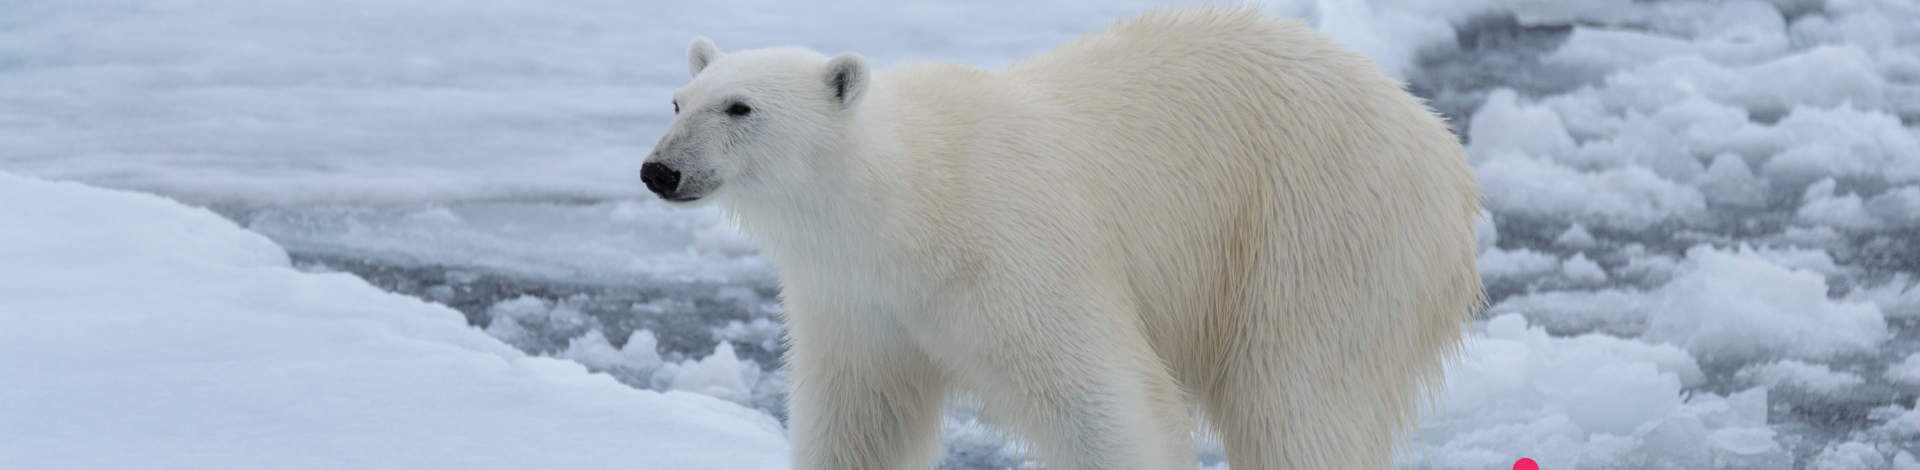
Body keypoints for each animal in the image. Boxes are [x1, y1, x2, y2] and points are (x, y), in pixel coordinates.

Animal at [639, 6, 1482, 470]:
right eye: (679, 99)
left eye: (741, 107)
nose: (659, 170)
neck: (910, 203)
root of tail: (1443, 152)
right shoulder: (856, 303)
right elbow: (859, 423)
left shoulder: (1014, 252)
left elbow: (1103, 398)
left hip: (1323, 232)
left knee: (1296, 401)